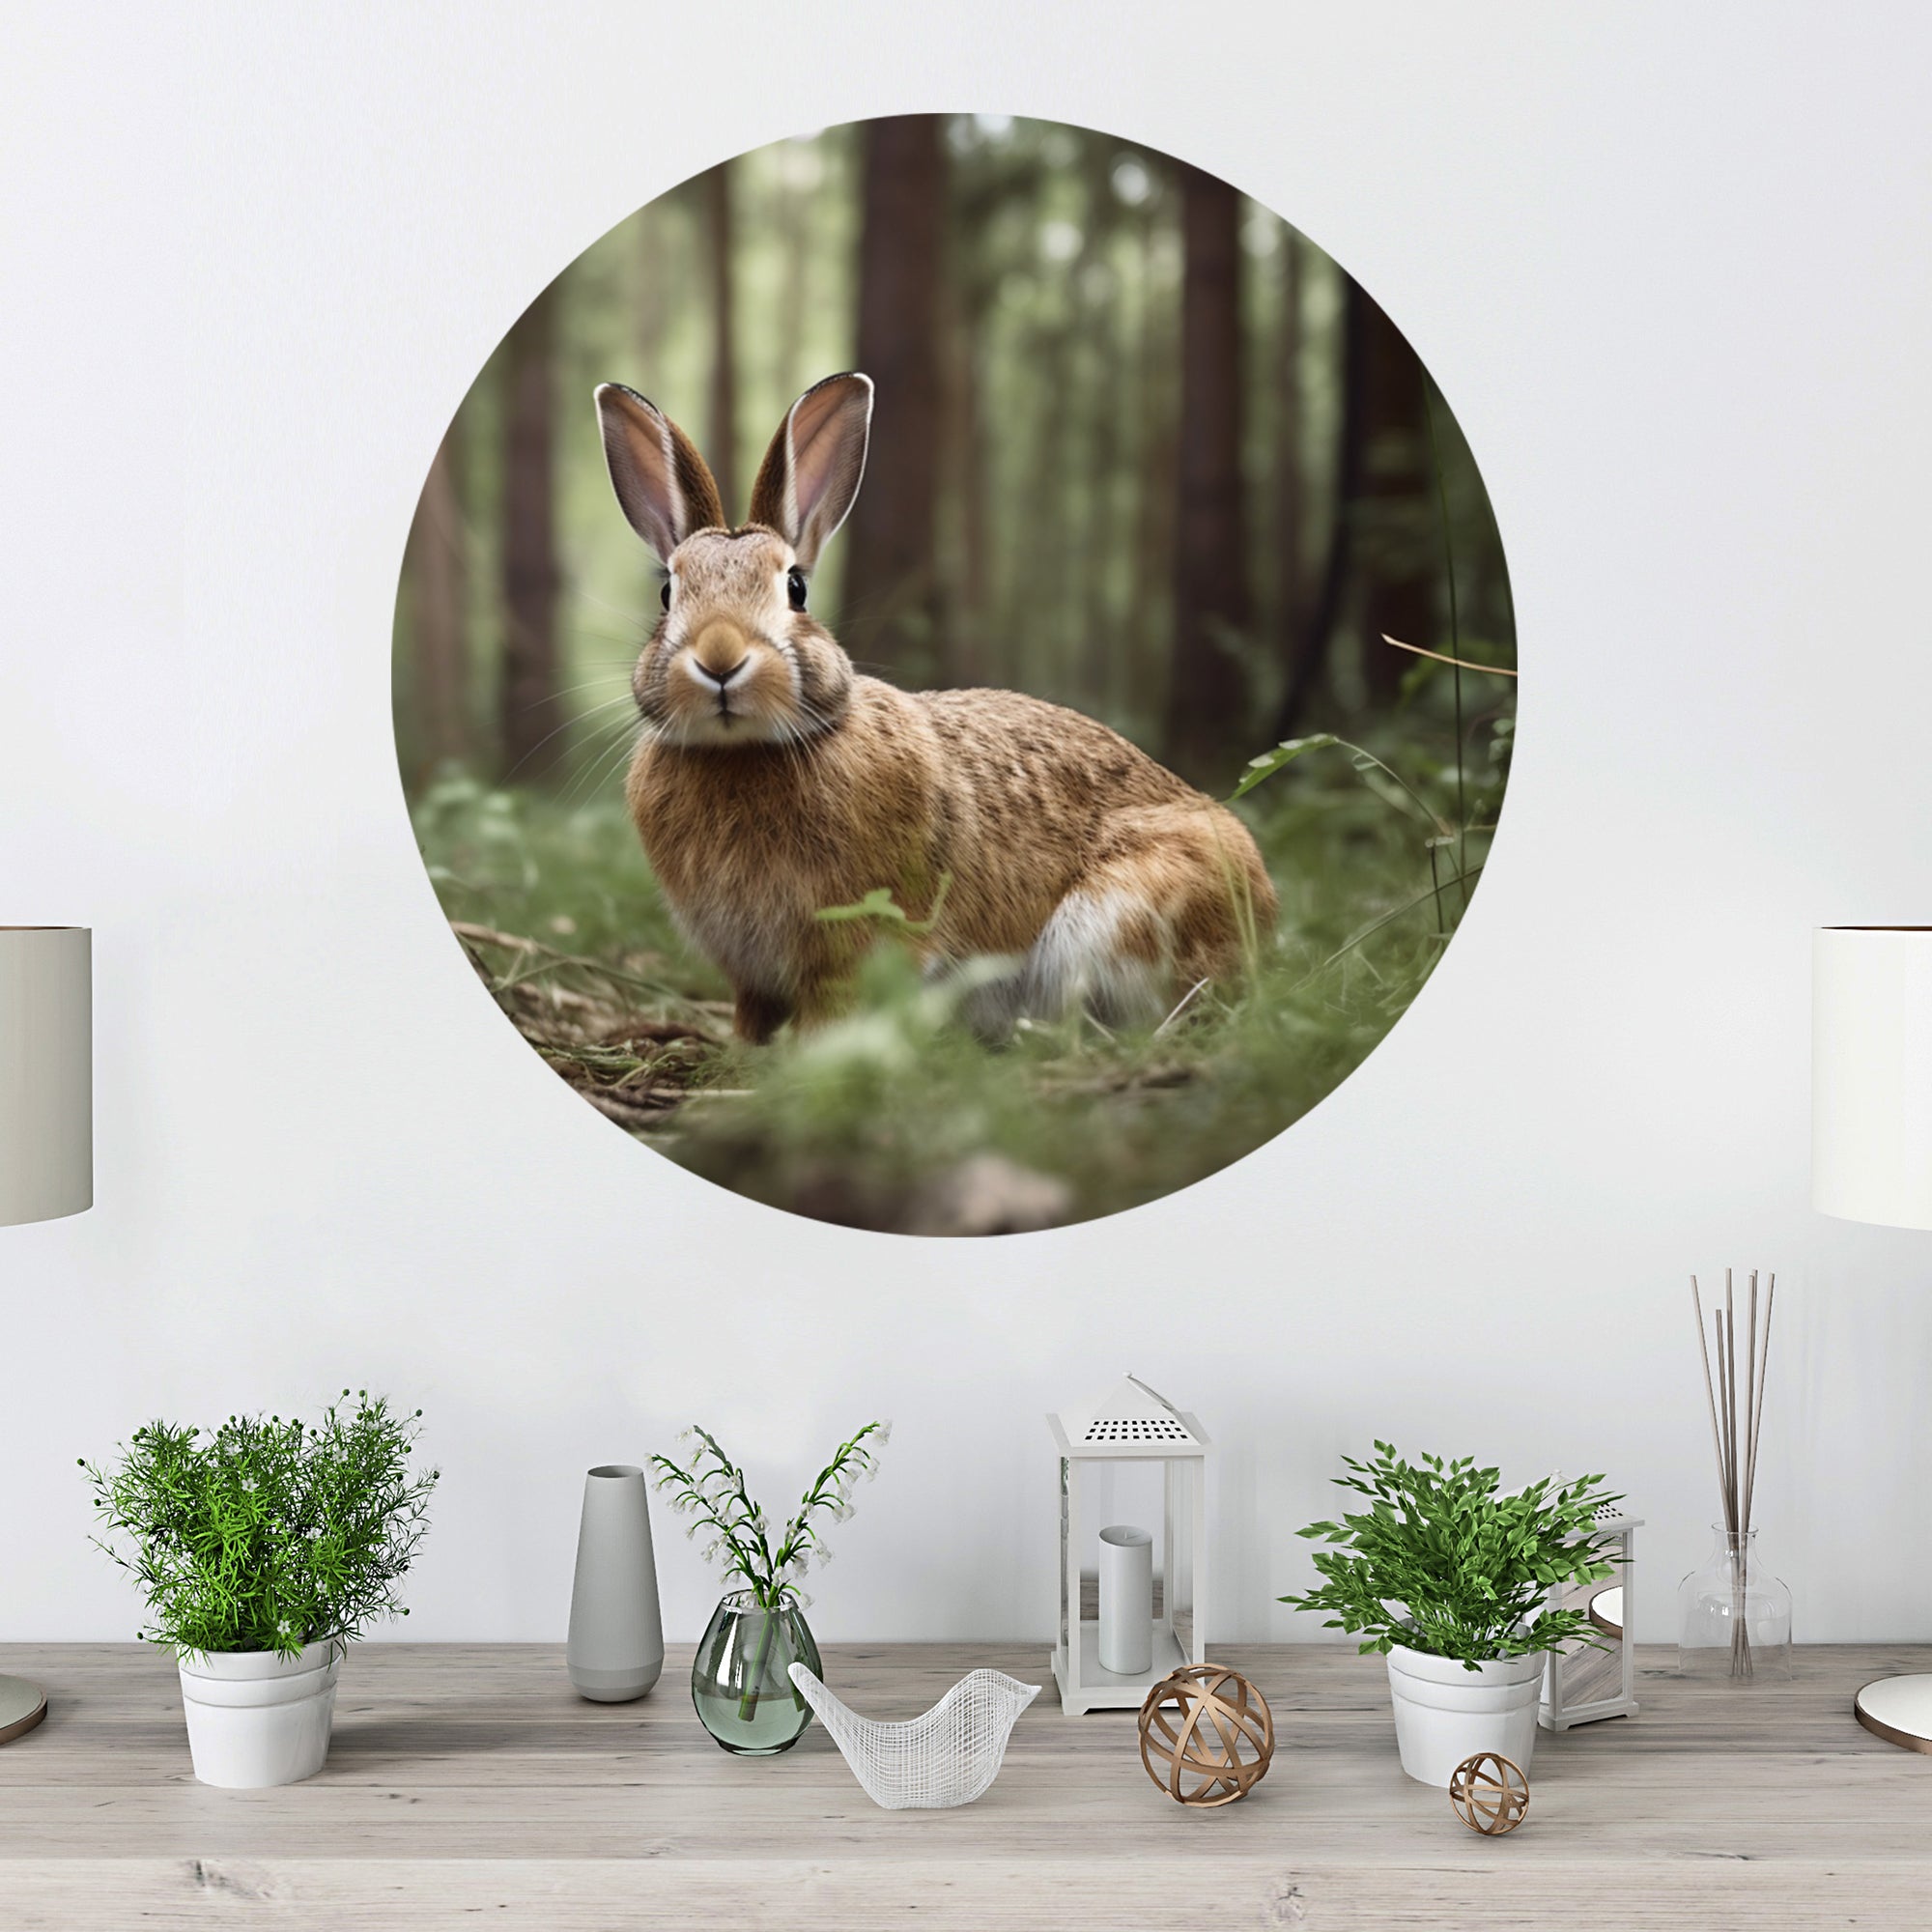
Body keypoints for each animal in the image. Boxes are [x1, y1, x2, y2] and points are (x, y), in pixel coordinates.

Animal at [593, 370, 1277, 1044]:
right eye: (668, 592)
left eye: (796, 588)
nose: (720, 657)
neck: (745, 751)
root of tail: (1262, 915)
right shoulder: (750, 972)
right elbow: (753, 1017)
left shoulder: (859, 940)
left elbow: (832, 1015)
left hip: (1119, 918)